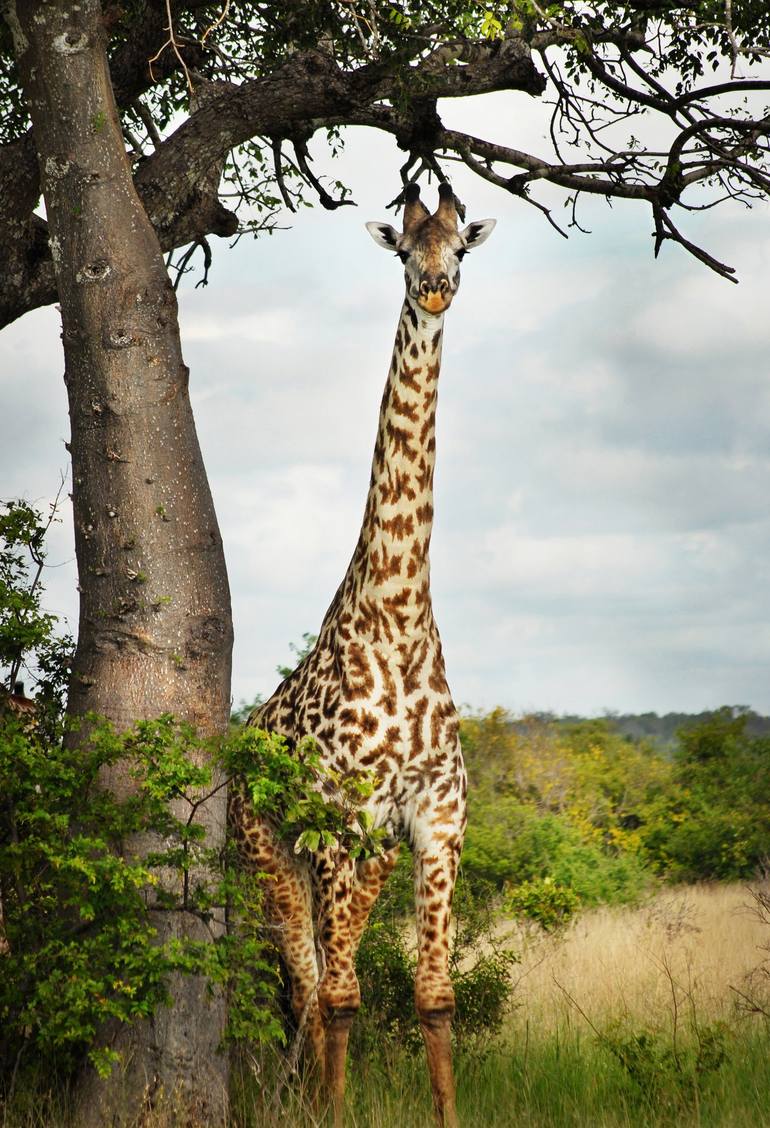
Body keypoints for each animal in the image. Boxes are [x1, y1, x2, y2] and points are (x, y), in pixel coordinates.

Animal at [228, 180, 496, 1123]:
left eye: (462, 245)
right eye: (404, 249)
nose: (435, 288)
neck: (399, 617)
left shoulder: (436, 820)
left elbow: (435, 996)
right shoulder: (337, 820)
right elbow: (343, 997)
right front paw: (334, 1112)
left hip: (363, 860)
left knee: (314, 981)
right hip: (269, 851)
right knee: (306, 985)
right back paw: (300, 1100)